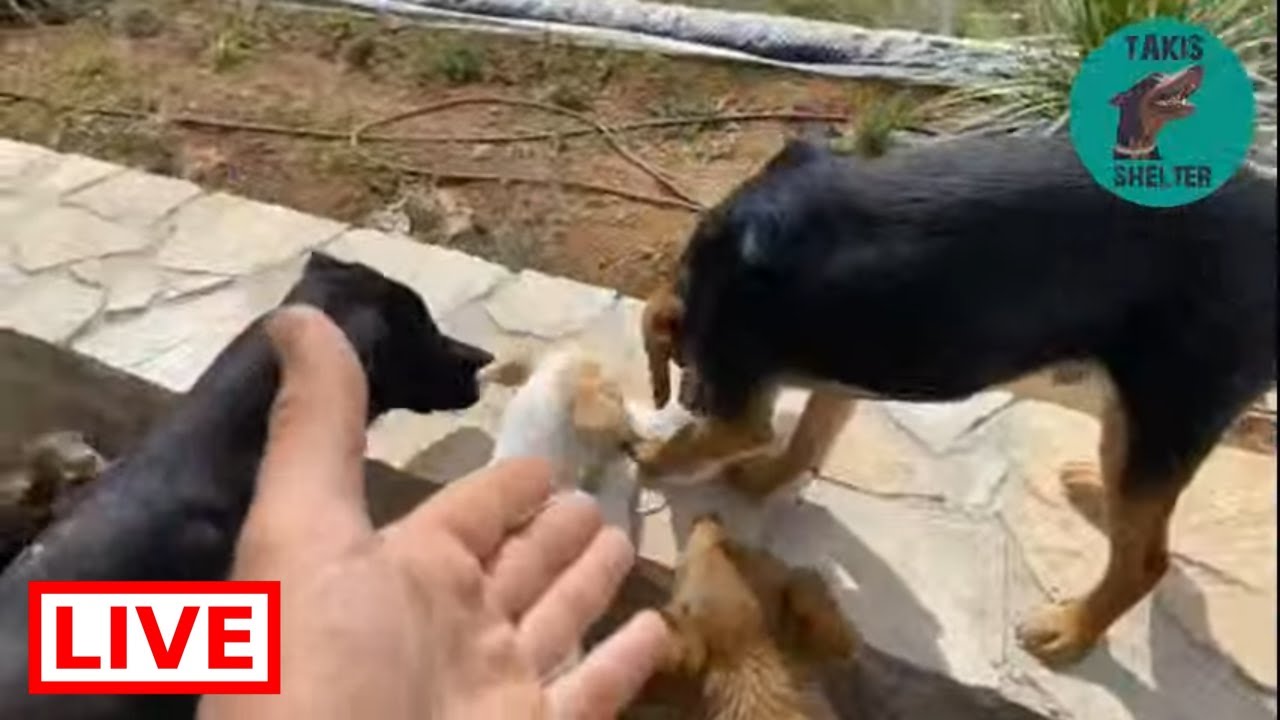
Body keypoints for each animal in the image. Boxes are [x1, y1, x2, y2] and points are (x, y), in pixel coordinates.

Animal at [636, 133, 1276, 667]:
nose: (692, 395)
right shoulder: (842, 371)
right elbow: (809, 437)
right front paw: (765, 477)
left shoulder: (739, 405)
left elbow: (709, 440)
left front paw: (649, 458)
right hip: (1144, 418)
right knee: (1145, 521)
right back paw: (1093, 491)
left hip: (1167, 405)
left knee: (1145, 560)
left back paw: (1070, 630)